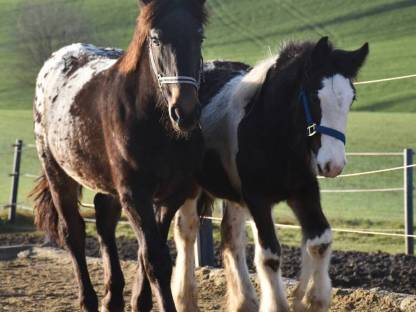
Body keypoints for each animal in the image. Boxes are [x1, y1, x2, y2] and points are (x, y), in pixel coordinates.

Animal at [31, 1, 208, 310]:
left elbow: (149, 252)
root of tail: (54, 59)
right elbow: (155, 260)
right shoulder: (135, 194)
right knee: (73, 233)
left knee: (104, 221)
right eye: (155, 39)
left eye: (199, 36)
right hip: (57, 173)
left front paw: (139, 301)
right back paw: (89, 300)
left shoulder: (171, 195)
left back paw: (112, 298)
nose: (185, 112)